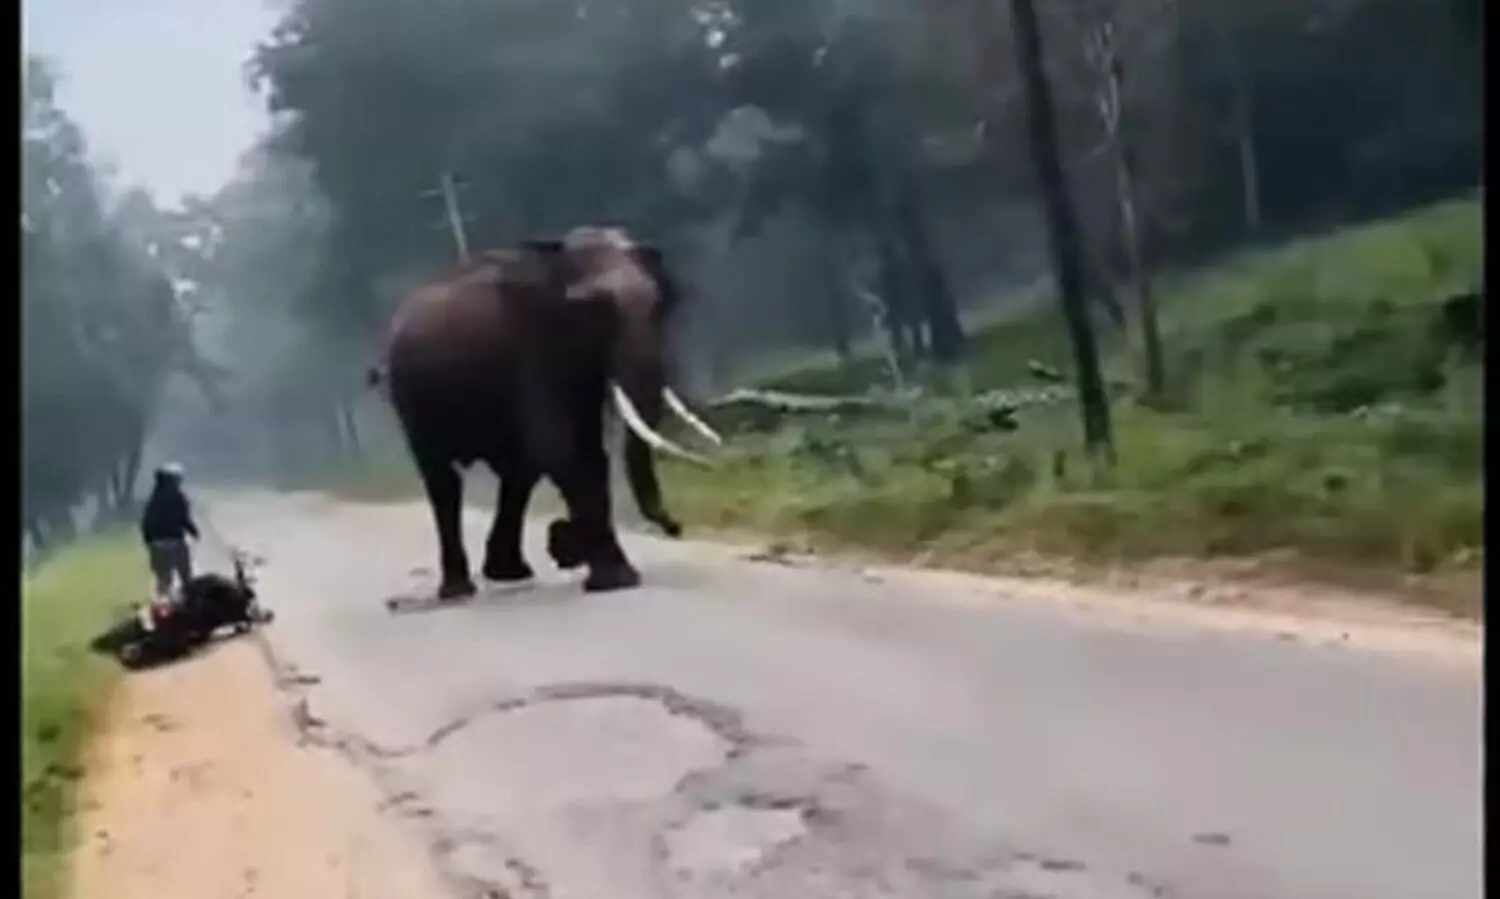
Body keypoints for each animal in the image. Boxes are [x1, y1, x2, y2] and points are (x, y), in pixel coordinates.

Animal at [371, 226, 724, 598]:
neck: (559, 257)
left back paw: (508, 573)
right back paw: (458, 590)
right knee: (444, 480)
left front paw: (577, 553)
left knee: (518, 473)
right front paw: (611, 576)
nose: (676, 526)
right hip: (408, 397)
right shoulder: (528, 348)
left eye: (660, 307)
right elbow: (560, 449)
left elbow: (589, 453)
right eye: (596, 309)